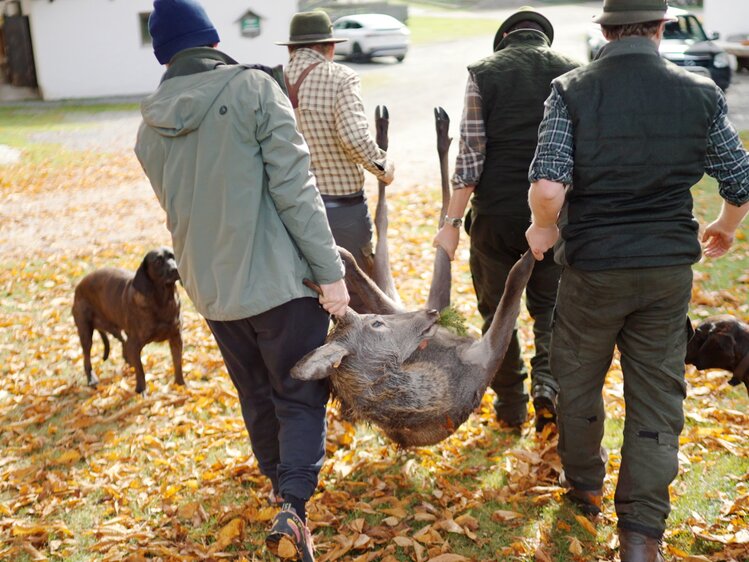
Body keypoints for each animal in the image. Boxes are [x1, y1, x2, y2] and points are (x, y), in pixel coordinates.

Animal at [72, 247, 183, 392]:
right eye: (158, 261)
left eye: (173, 256)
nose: (175, 269)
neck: (163, 302)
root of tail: (79, 286)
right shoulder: (134, 344)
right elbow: (140, 370)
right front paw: (141, 390)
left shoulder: (176, 337)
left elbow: (178, 363)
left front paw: (181, 385)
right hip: (86, 333)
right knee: (87, 357)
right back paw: (91, 379)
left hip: (118, 330)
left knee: (124, 346)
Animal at [290, 107, 532, 444]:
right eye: (376, 324)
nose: (428, 314)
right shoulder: (486, 353)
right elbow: (516, 276)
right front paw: (541, 238)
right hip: (407, 294)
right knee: (428, 218)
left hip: (401, 296)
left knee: (396, 226)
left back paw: (393, 134)